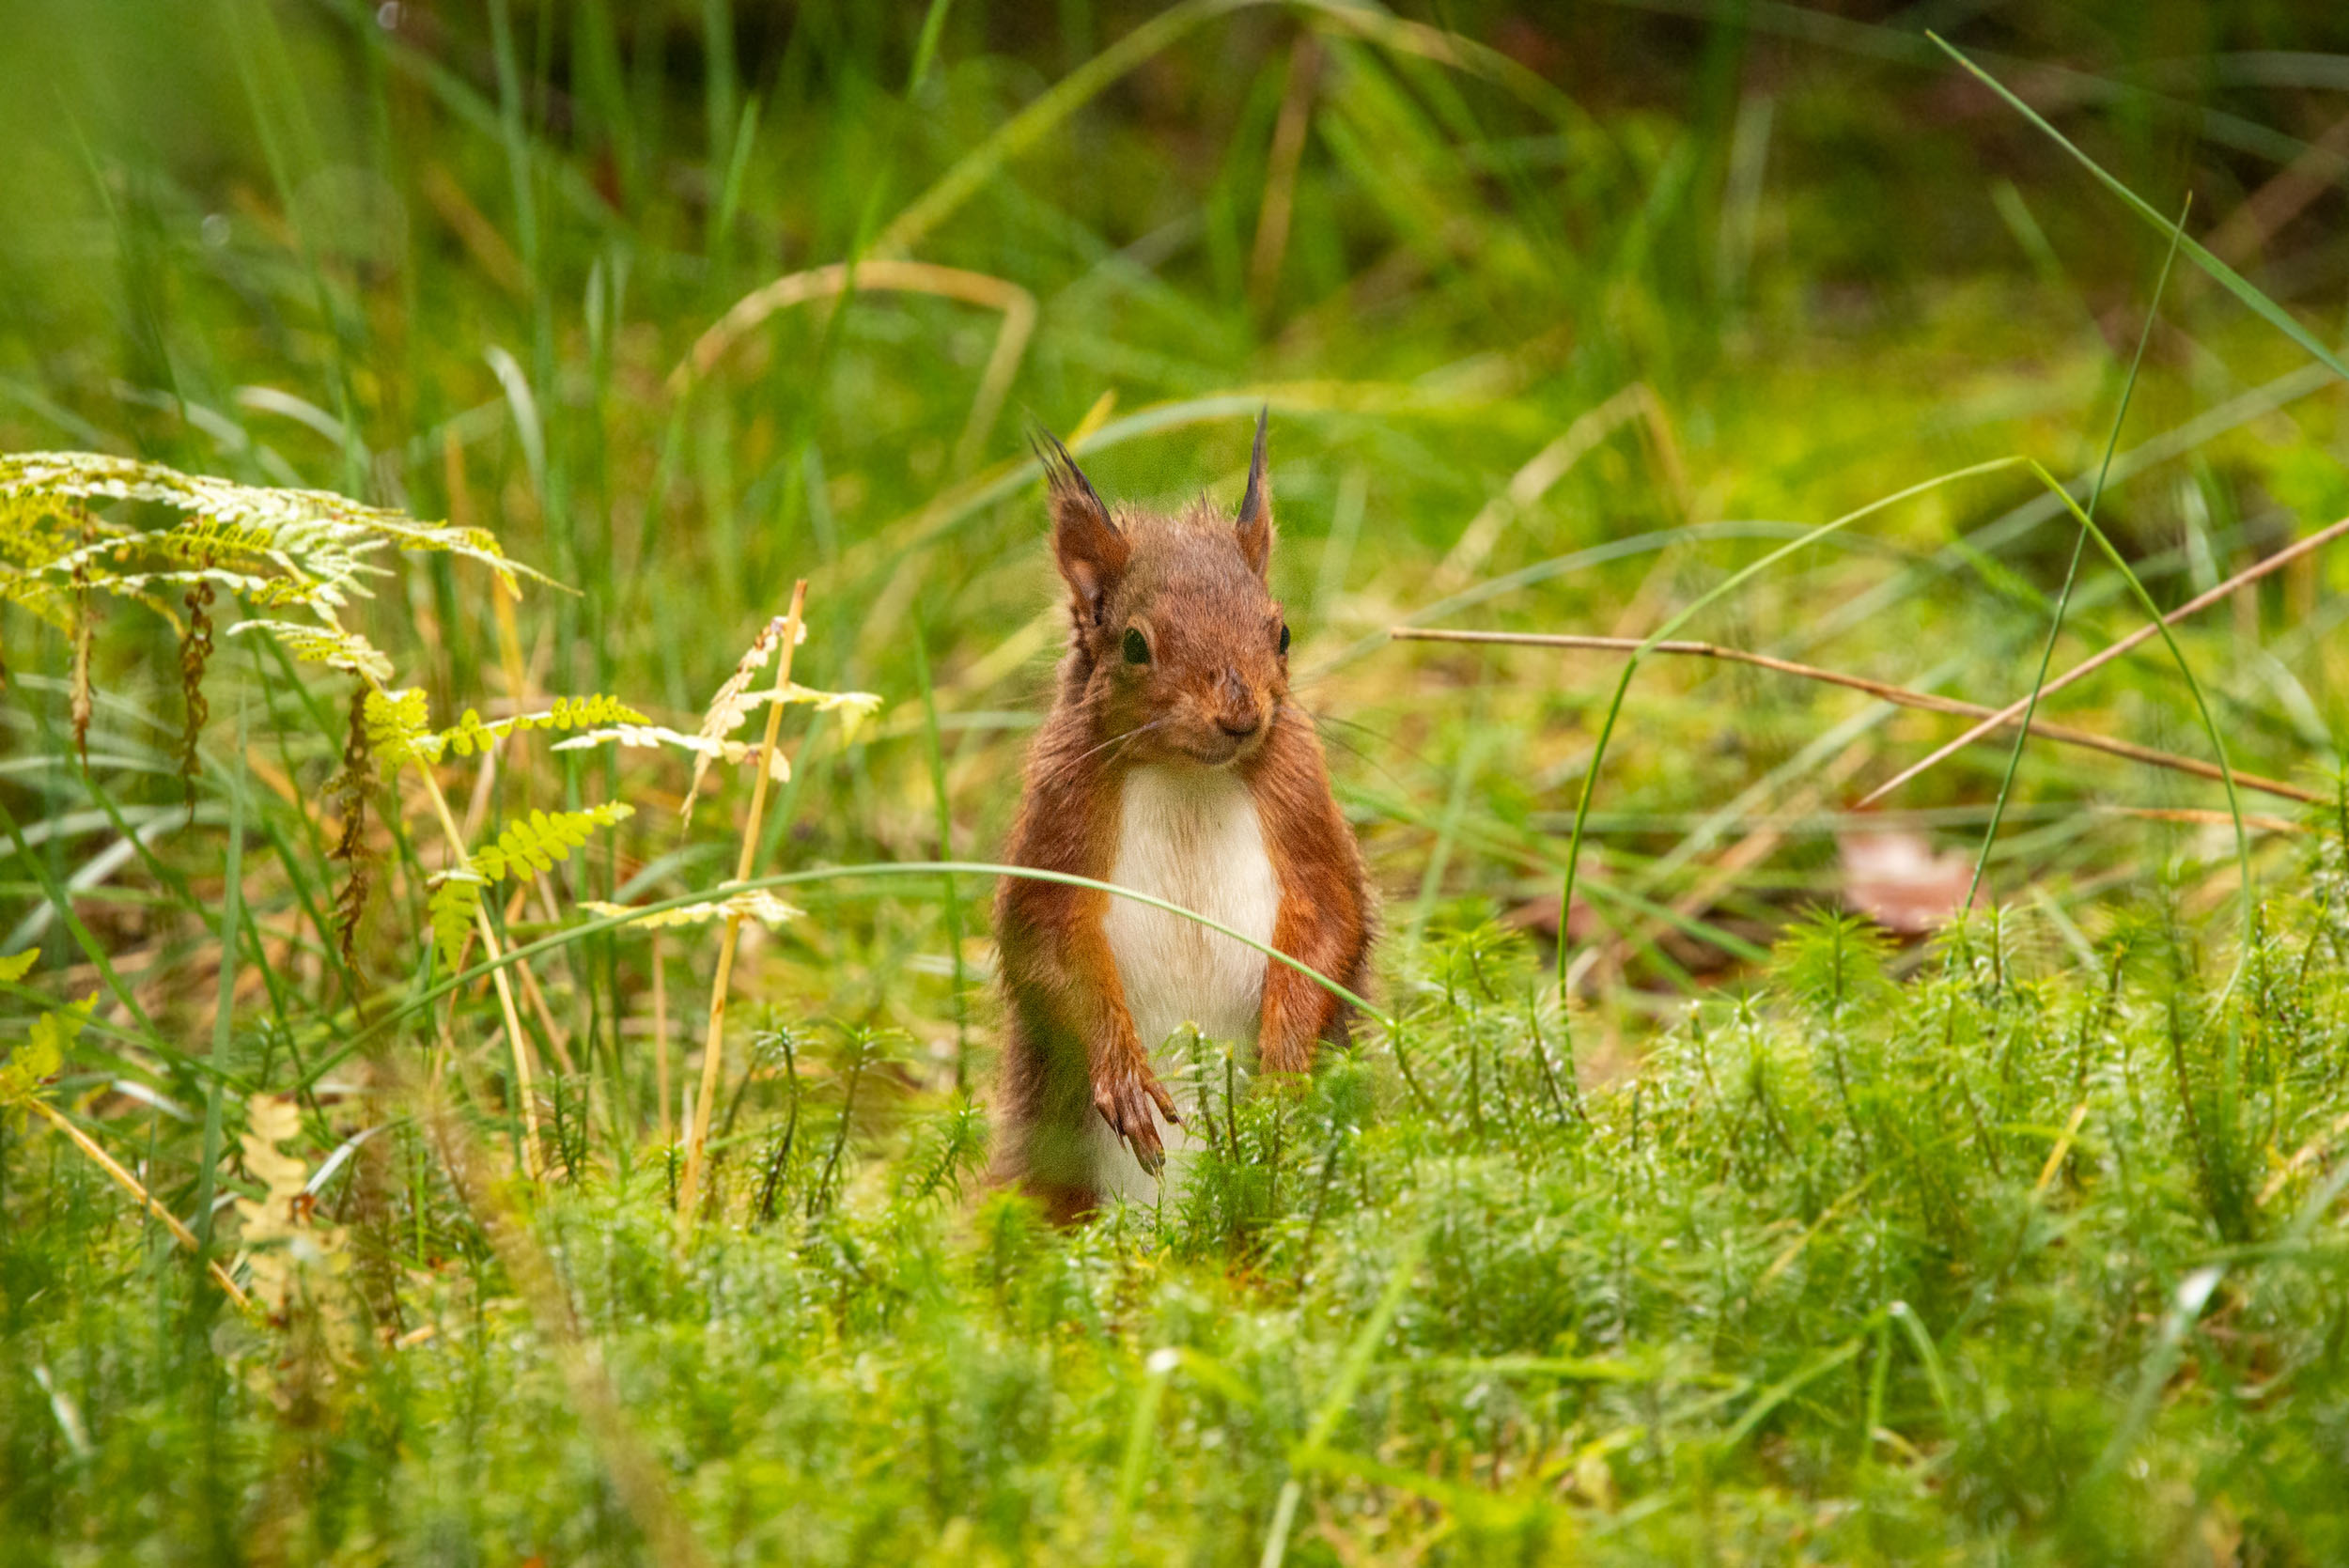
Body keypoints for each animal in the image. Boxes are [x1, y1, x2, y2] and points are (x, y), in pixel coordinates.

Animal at [990, 412, 1375, 1222]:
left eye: (1281, 632)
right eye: (1136, 644)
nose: (1240, 716)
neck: (1188, 776)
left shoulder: (1303, 802)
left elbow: (1331, 919)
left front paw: (1285, 1065)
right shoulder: (1059, 812)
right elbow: (1045, 939)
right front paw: (1123, 1072)